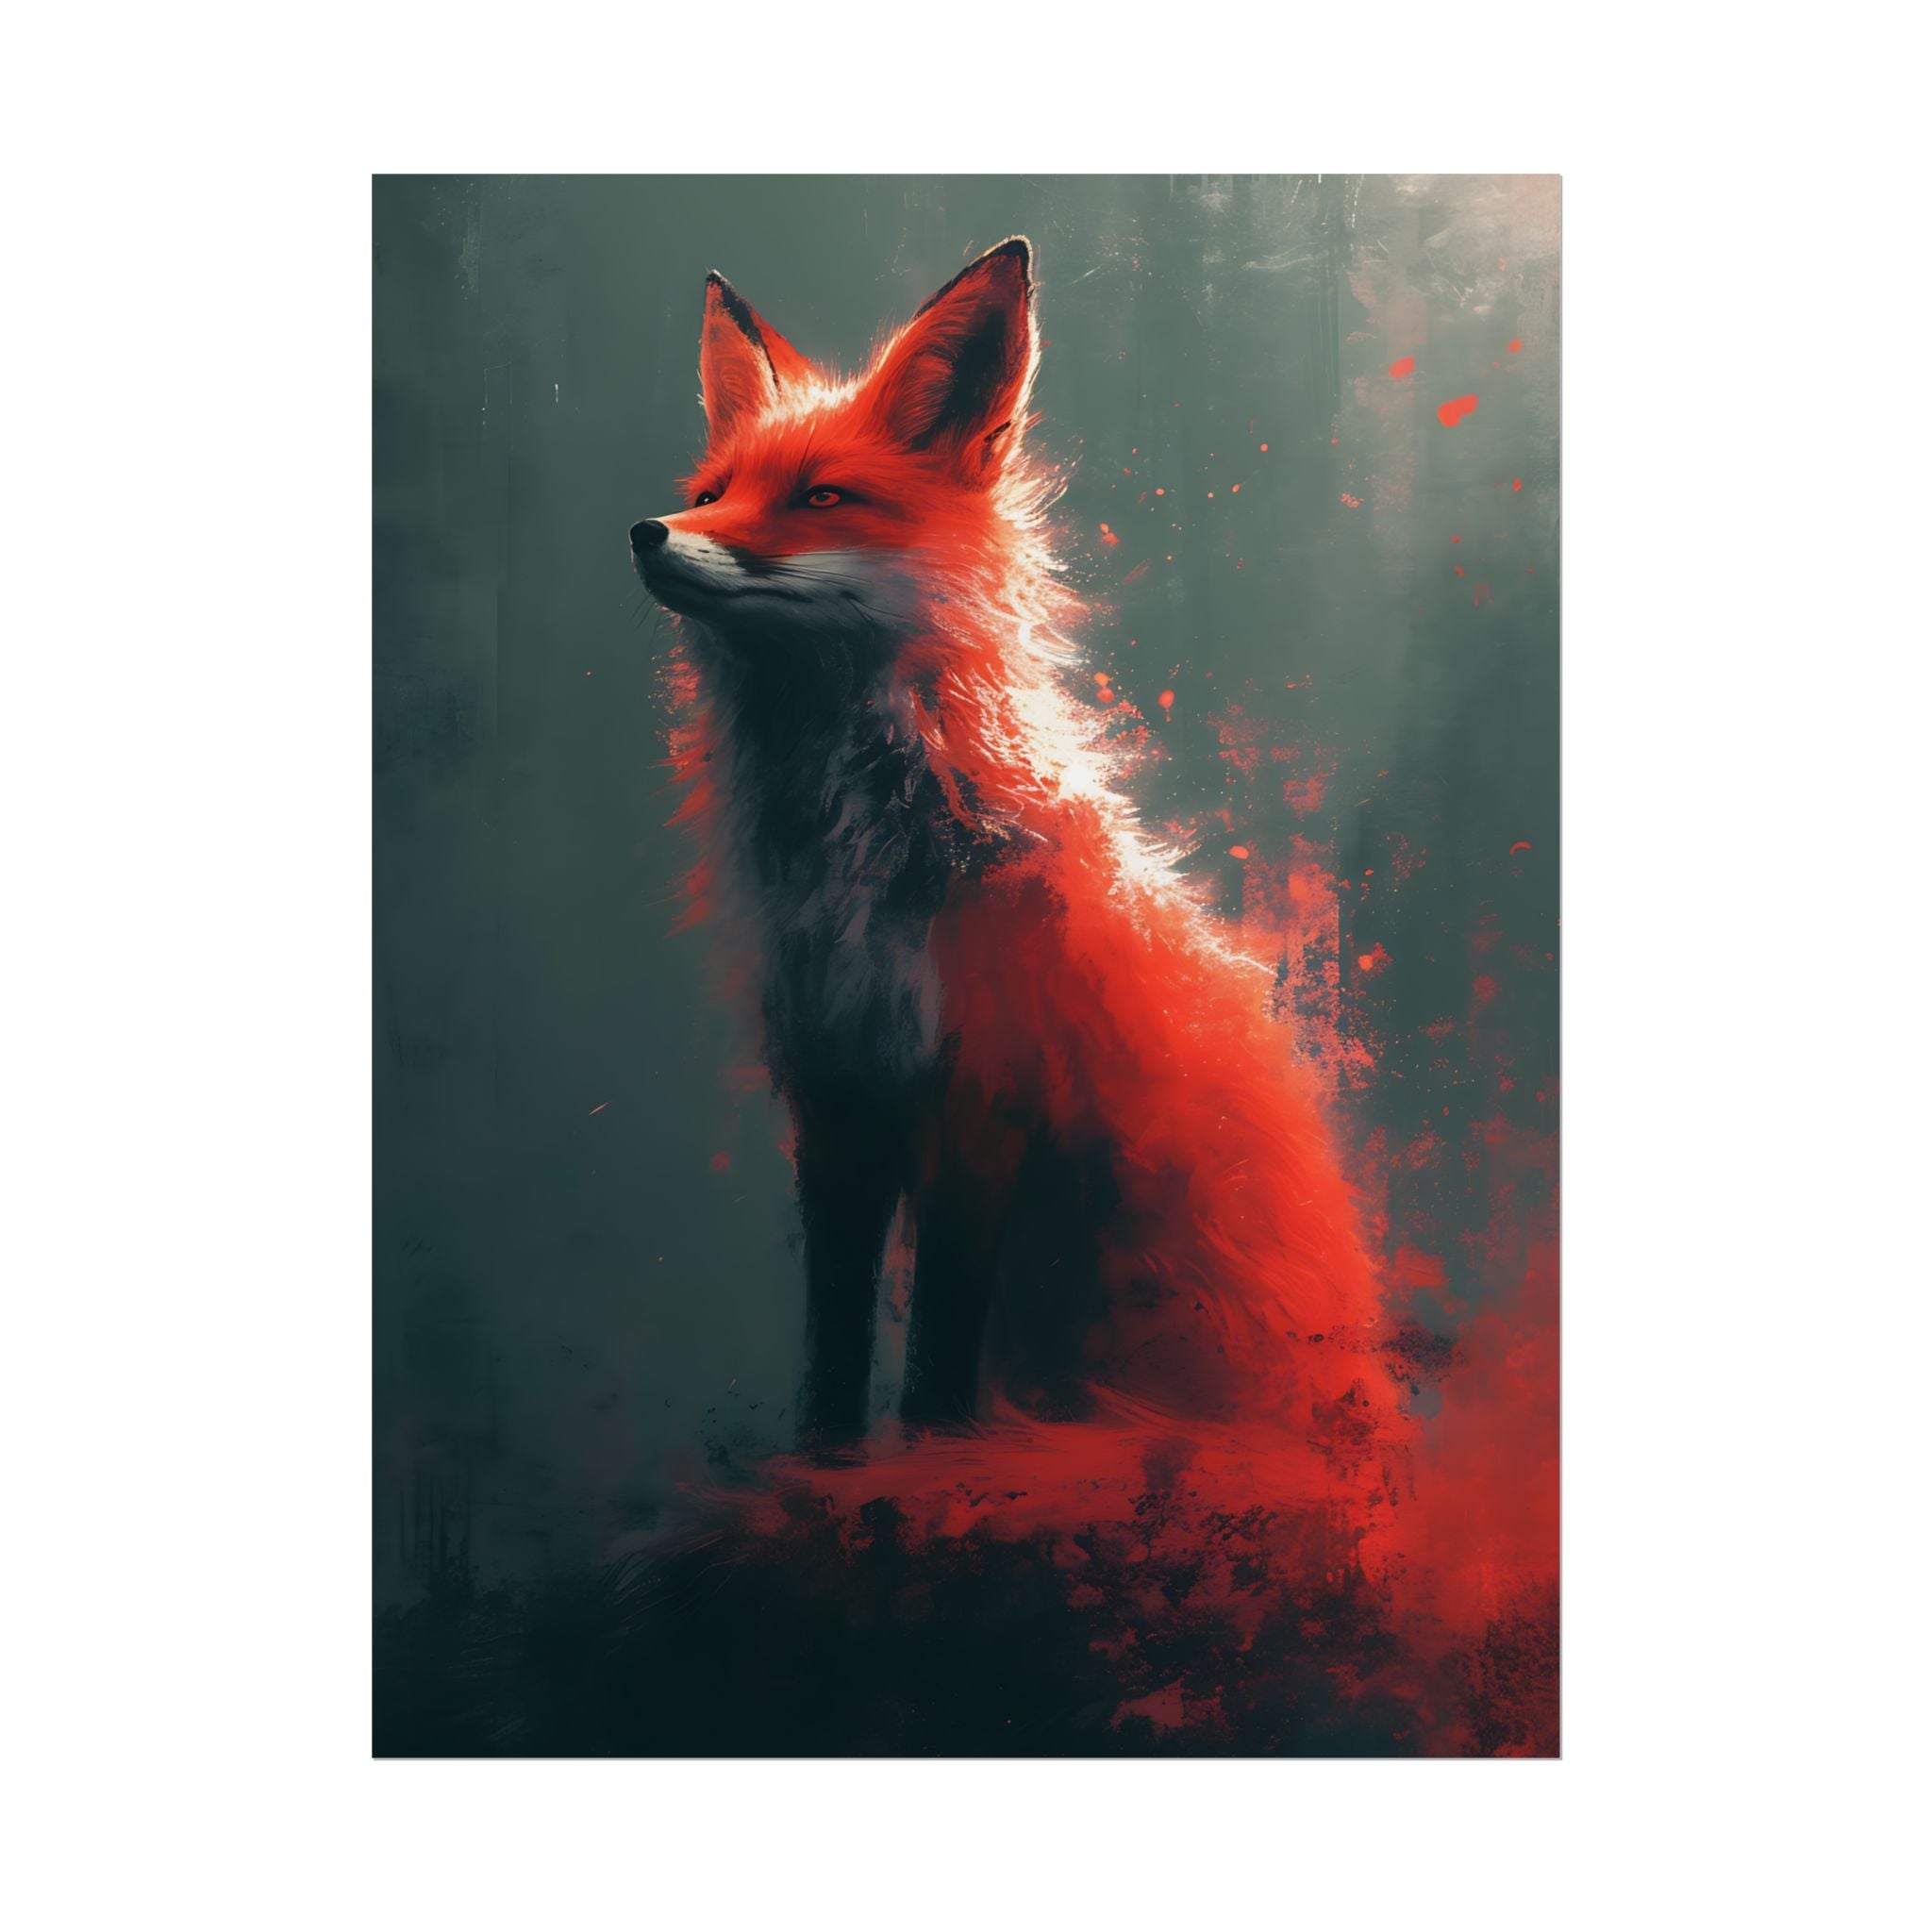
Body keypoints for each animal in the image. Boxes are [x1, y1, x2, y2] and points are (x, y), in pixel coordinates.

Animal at [630, 238, 1396, 1466]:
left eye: (820, 497)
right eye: (712, 494)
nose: (648, 532)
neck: (858, 863)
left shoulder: (981, 1097)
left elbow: (938, 1348)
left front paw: (933, 1459)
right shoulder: (832, 1097)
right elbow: (833, 1336)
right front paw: (824, 1461)